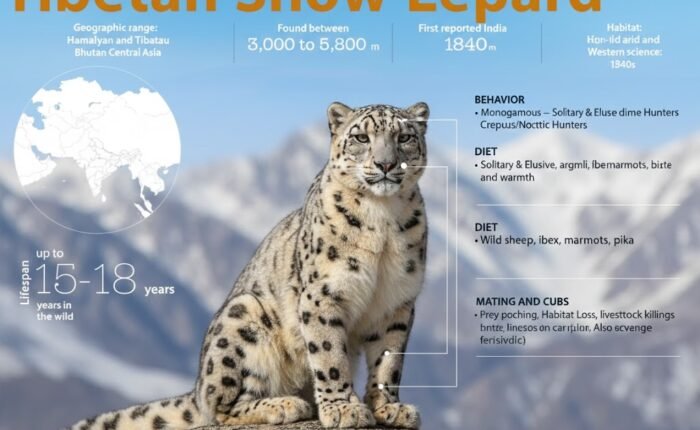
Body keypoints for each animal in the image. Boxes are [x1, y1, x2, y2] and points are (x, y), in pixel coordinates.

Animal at [69, 101, 430, 430]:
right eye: (361, 137)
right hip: (243, 318)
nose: (385, 163)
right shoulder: (323, 294)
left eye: (404, 137)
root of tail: (196, 387)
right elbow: (329, 355)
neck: (382, 219)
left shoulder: (398, 302)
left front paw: (389, 408)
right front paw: (344, 409)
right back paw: (285, 405)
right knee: (222, 406)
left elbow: (389, 360)